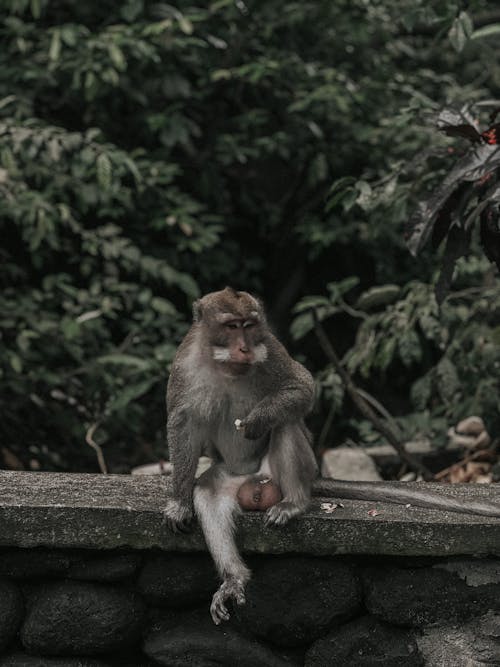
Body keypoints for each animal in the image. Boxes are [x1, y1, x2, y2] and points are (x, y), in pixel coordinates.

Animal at [164, 288, 500, 628]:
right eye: (231, 326)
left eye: (249, 325)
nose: (245, 347)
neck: (226, 367)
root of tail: (255, 481)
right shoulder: (184, 364)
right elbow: (183, 423)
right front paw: (179, 503)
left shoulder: (269, 346)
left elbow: (302, 387)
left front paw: (259, 420)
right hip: (232, 478)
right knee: (208, 493)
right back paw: (234, 578)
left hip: (290, 471)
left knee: (286, 423)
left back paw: (295, 503)